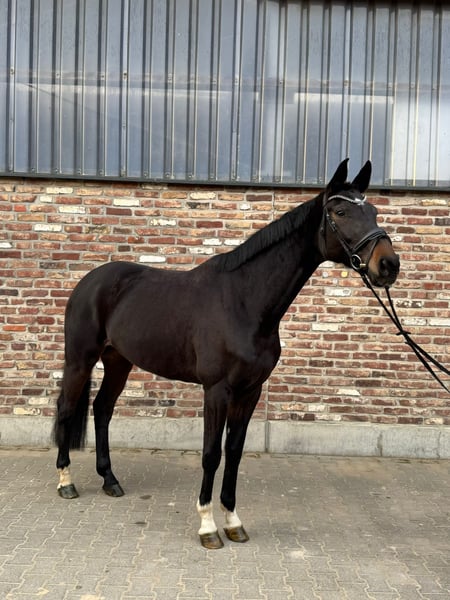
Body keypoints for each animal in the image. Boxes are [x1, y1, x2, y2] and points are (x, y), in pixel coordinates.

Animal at [53, 159, 400, 549]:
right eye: (340, 212)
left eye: (373, 211)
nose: (389, 265)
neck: (245, 302)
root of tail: (89, 282)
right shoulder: (216, 390)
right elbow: (211, 454)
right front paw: (207, 526)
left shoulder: (250, 391)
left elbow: (234, 452)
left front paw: (233, 521)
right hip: (80, 359)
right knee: (66, 408)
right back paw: (66, 482)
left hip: (118, 361)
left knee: (102, 409)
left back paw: (110, 480)